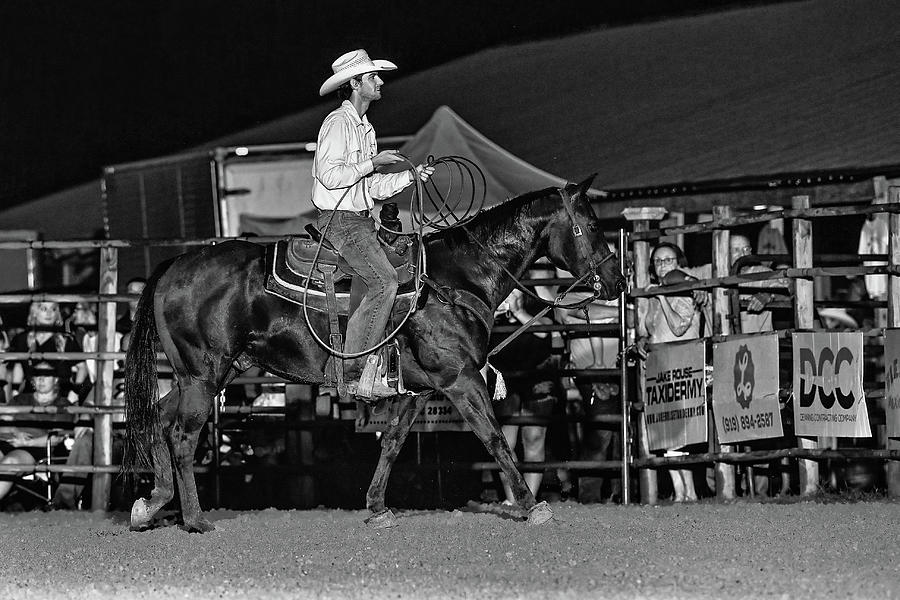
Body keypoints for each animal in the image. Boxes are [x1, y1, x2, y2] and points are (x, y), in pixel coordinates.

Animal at [123, 173, 624, 528]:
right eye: (592, 224)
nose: (617, 281)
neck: (458, 279)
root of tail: (175, 264)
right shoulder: (460, 379)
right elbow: (494, 438)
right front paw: (532, 506)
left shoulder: (418, 391)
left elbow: (393, 444)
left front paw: (378, 506)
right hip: (204, 376)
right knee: (182, 436)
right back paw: (194, 519)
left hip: (200, 376)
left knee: (158, 421)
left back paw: (150, 506)